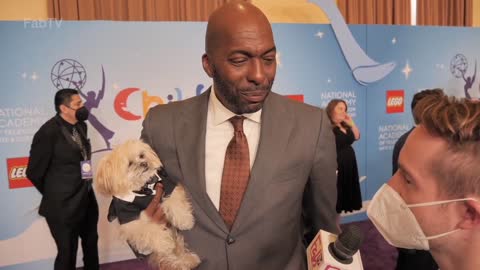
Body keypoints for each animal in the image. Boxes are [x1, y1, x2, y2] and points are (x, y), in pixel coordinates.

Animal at [94, 140, 200, 268]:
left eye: (141, 155)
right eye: (130, 164)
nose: (144, 163)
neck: (144, 189)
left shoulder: (167, 186)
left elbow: (175, 202)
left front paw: (185, 221)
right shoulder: (130, 219)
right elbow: (149, 231)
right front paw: (163, 243)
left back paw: (189, 260)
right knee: (170, 257)